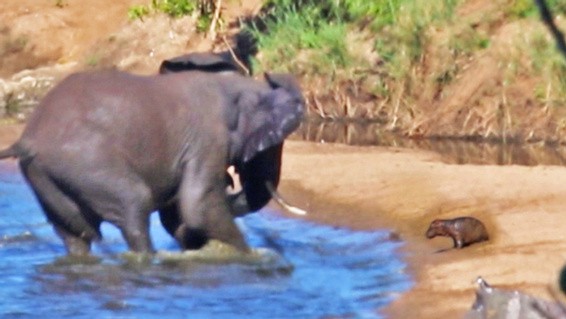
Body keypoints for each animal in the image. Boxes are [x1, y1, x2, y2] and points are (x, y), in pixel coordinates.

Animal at [0, 69, 304, 256]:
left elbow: (179, 214)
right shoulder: (208, 139)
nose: (230, 181)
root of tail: (27, 140)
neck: (237, 87)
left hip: (45, 179)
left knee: (75, 235)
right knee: (135, 205)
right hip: (84, 161)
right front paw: (250, 256)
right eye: (270, 143)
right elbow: (197, 207)